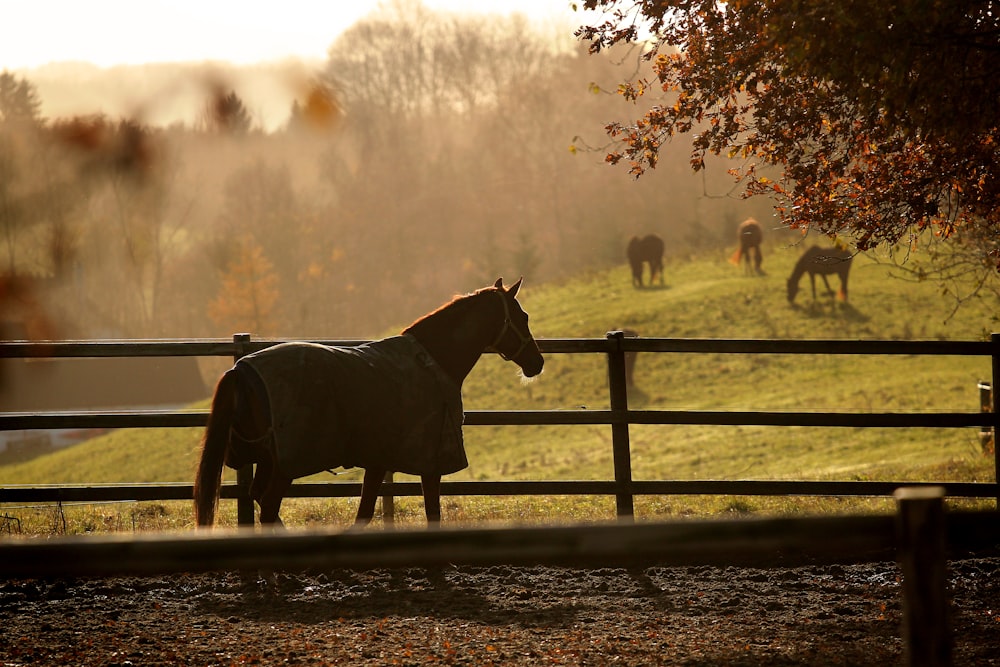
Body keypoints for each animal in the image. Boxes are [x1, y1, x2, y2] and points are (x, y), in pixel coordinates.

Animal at [191, 280, 544, 528]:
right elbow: (432, 514)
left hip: (267, 460)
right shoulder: (431, 465)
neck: (433, 360)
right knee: (267, 508)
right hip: (283, 467)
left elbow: (363, 514)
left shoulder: (378, 461)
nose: (536, 362)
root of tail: (241, 370)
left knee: (262, 503)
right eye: (522, 316)